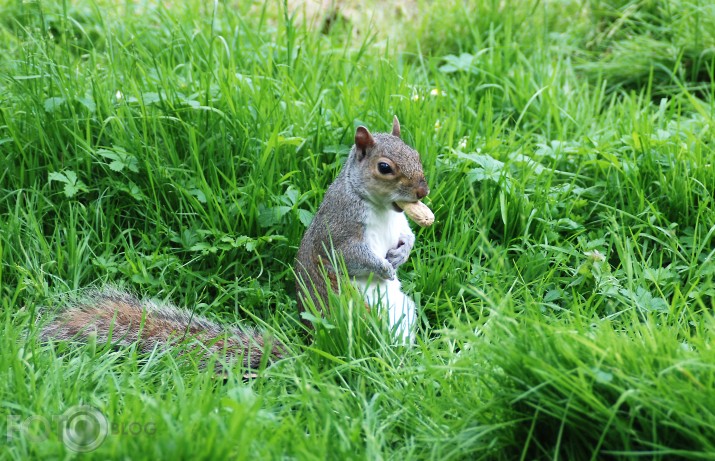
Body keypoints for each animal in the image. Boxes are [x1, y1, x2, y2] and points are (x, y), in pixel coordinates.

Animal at [43, 117, 430, 372]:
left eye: (416, 153)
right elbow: (351, 257)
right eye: (384, 167)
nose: (423, 191)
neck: (381, 208)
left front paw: (401, 253)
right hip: (358, 316)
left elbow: (407, 236)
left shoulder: (399, 223)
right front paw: (383, 267)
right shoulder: (340, 230)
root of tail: (317, 350)